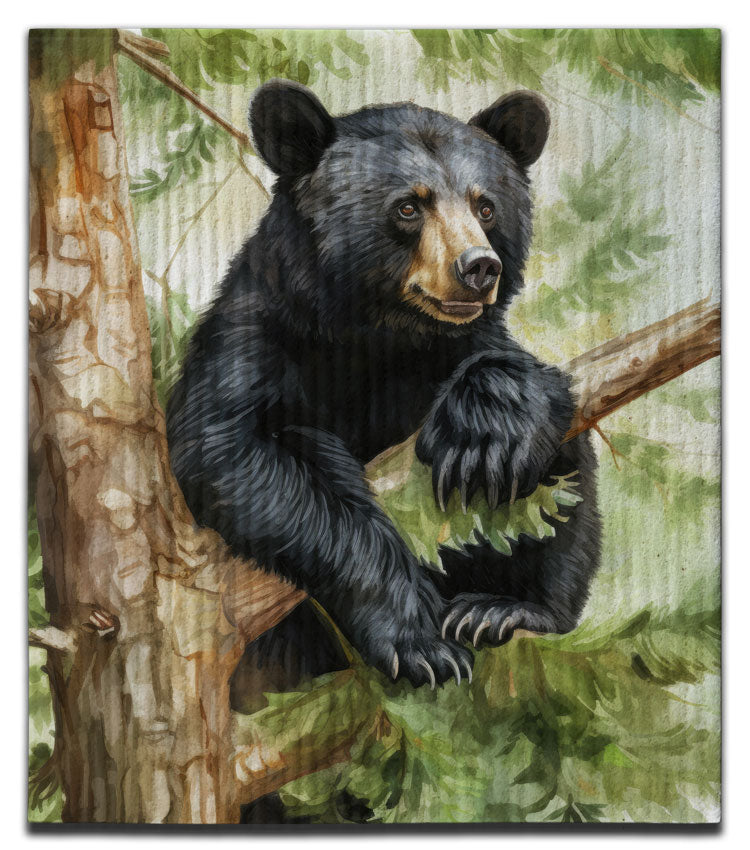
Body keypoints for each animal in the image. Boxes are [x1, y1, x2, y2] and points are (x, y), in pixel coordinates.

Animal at [166, 80, 601, 690]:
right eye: (408, 206)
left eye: (485, 206)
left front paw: (483, 435)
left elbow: (530, 389)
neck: (380, 333)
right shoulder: (257, 337)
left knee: (565, 487)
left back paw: (502, 610)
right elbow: (243, 448)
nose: (480, 267)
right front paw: (418, 641)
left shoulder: (456, 346)